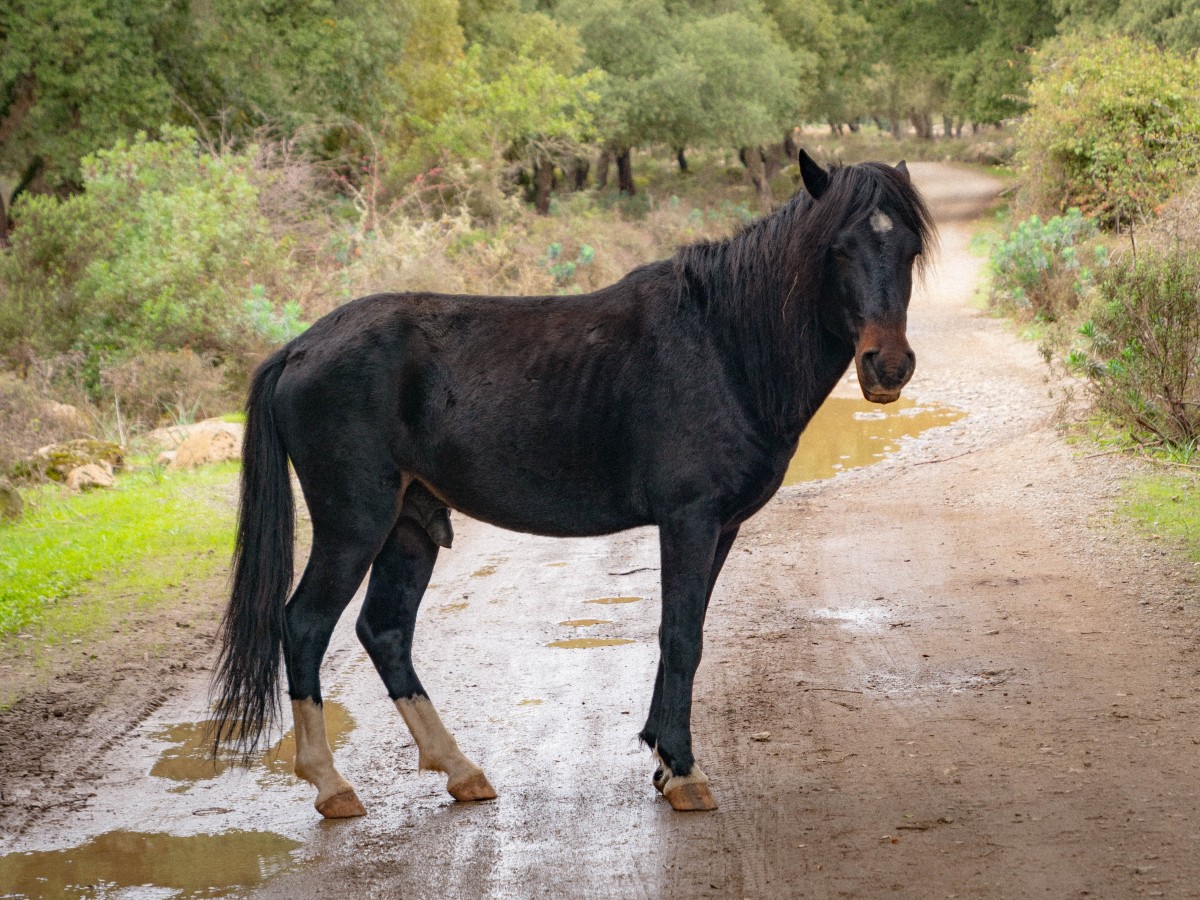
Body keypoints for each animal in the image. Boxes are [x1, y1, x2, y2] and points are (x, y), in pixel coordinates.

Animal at [211, 153, 931, 816]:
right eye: (837, 247)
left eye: (909, 248)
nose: (888, 367)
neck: (723, 344)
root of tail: (300, 347)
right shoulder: (689, 520)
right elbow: (680, 635)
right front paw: (683, 770)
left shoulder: (720, 527)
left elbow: (689, 628)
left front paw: (663, 759)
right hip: (354, 524)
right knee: (305, 625)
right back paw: (331, 784)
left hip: (409, 523)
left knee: (384, 632)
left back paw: (460, 770)